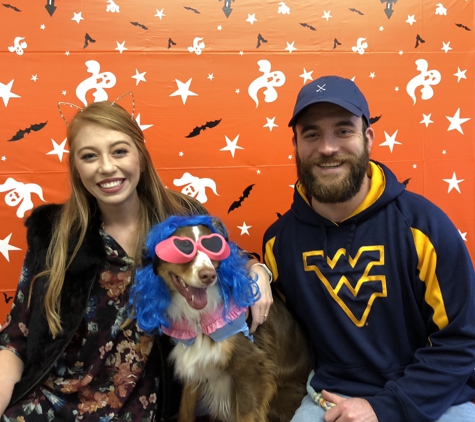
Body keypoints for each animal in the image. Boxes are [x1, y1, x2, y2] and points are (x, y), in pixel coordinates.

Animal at [132, 216, 312, 420]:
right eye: (181, 249)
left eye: (213, 247)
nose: (208, 275)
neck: (200, 318)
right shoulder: (194, 364)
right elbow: (185, 410)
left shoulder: (252, 368)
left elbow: (246, 415)